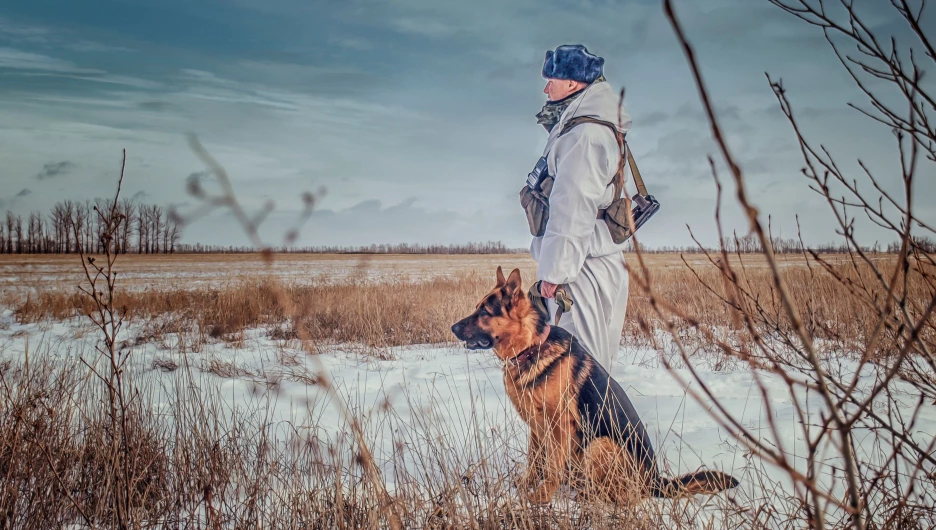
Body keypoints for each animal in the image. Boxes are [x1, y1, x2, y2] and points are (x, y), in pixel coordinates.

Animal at [450, 268, 744, 504]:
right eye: (476, 307)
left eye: (484, 312)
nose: (453, 328)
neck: (532, 347)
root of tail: (656, 481)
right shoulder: (536, 426)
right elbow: (535, 461)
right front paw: (526, 486)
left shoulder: (558, 425)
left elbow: (551, 467)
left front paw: (541, 498)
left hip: (599, 444)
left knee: (625, 497)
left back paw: (588, 496)